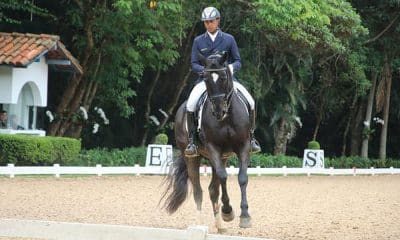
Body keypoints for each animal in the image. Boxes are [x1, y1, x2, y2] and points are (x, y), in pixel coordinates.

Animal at [161, 53, 252, 231]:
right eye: (205, 79)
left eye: (224, 77)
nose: (218, 111)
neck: (226, 118)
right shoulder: (213, 148)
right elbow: (223, 176)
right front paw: (227, 211)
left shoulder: (243, 146)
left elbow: (242, 178)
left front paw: (244, 216)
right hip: (192, 157)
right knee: (198, 191)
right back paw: (199, 224)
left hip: (221, 157)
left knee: (212, 190)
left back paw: (220, 226)